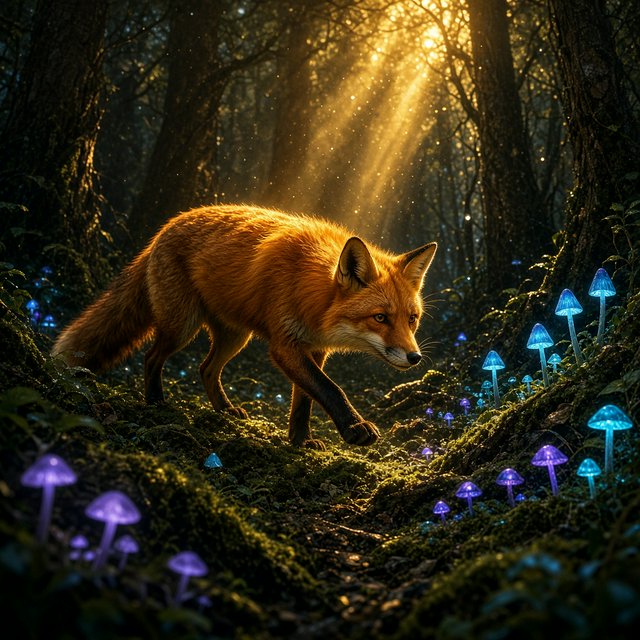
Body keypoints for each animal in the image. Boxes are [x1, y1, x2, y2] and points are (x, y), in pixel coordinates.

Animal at [53, 205, 437, 449]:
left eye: (412, 319)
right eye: (380, 318)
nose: (415, 357)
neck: (313, 294)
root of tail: (165, 228)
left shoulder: (313, 349)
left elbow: (305, 399)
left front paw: (300, 441)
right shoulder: (284, 345)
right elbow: (330, 390)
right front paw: (355, 428)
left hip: (235, 336)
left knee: (205, 368)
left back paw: (225, 410)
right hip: (182, 326)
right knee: (151, 358)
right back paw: (156, 403)